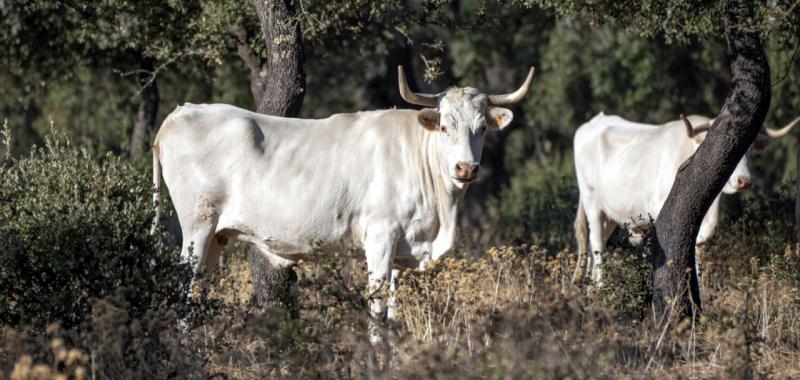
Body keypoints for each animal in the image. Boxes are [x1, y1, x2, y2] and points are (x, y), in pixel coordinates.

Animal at [151, 65, 536, 324]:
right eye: (444, 127)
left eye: (482, 127)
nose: (466, 169)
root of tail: (179, 113)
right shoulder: (380, 239)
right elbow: (376, 312)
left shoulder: (403, 254)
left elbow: (393, 315)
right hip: (196, 229)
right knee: (184, 292)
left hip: (215, 239)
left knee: (197, 293)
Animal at [572, 111, 796, 284]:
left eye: (748, 151)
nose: (745, 181)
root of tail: (595, 121)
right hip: (592, 202)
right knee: (597, 246)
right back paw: (600, 287)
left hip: (609, 214)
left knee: (592, 245)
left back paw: (590, 289)